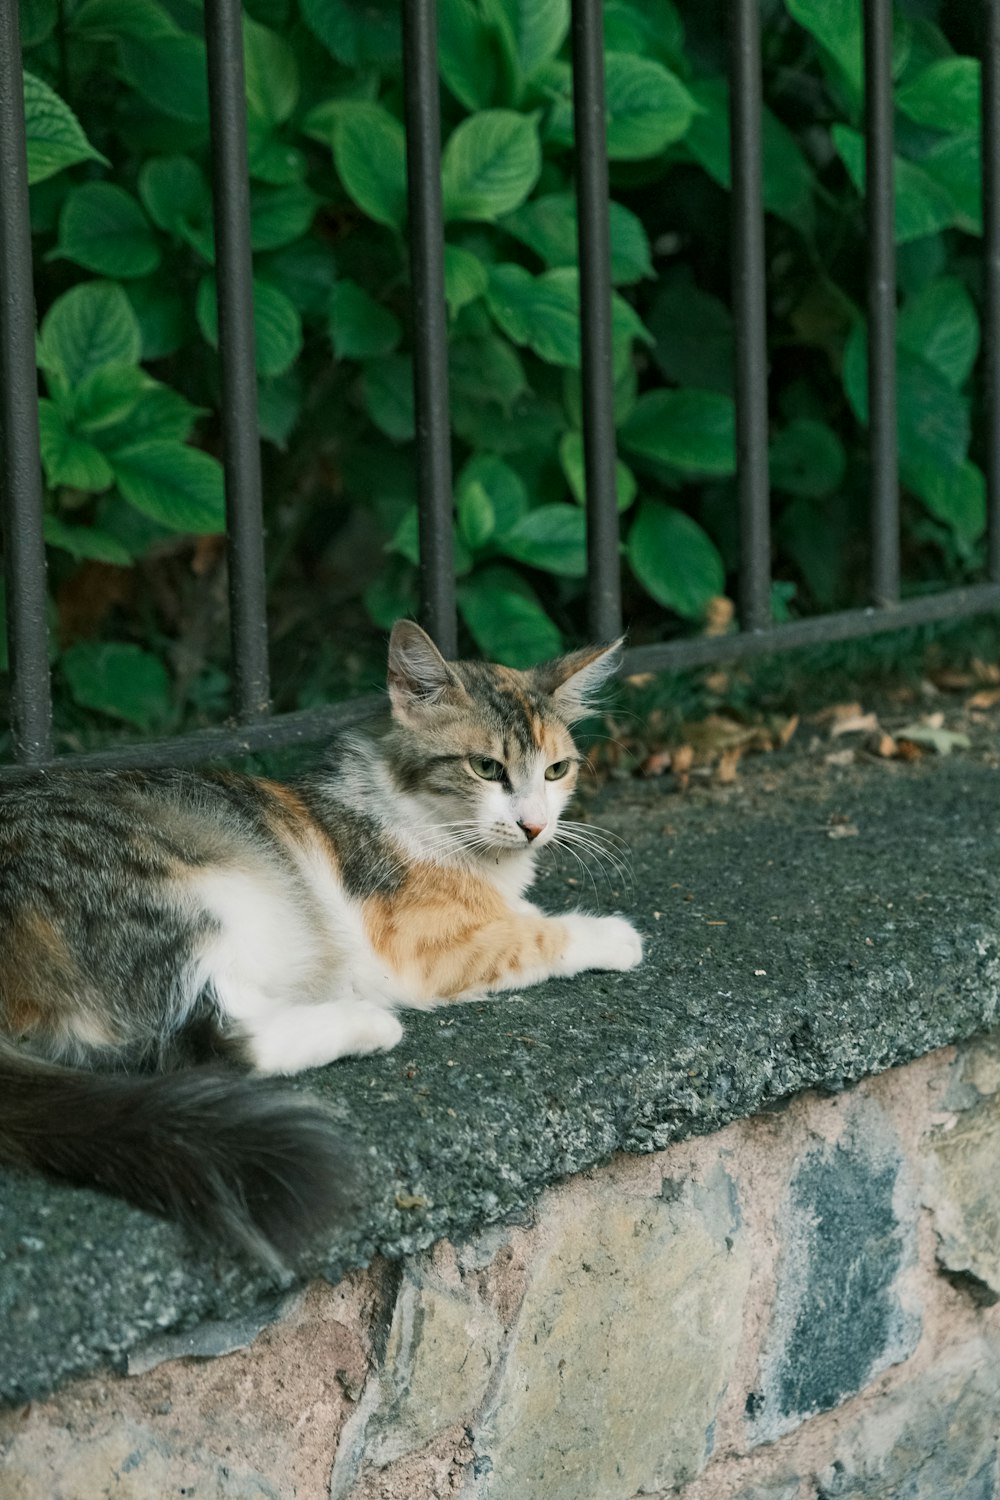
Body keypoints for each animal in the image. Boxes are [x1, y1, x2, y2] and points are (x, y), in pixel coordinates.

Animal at [0, 621, 641, 1266]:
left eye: (556, 771)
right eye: (486, 767)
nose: (535, 825)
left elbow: (519, 915)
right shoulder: (427, 947)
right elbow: (534, 935)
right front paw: (614, 934)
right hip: (184, 898)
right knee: (207, 1042)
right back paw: (364, 1022)